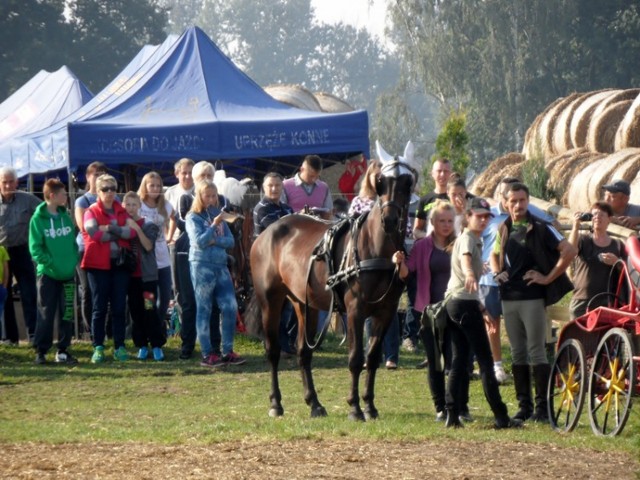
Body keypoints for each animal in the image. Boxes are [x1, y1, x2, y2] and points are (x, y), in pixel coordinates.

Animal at [250, 142, 420, 420]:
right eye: (381, 181)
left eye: (407, 181)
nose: (390, 220)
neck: (375, 248)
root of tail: (267, 232)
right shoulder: (355, 310)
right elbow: (355, 358)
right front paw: (354, 408)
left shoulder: (386, 311)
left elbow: (372, 358)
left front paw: (370, 406)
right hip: (270, 301)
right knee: (273, 350)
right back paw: (276, 404)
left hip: (303, 304)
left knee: (303, 352)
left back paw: (314, 403)